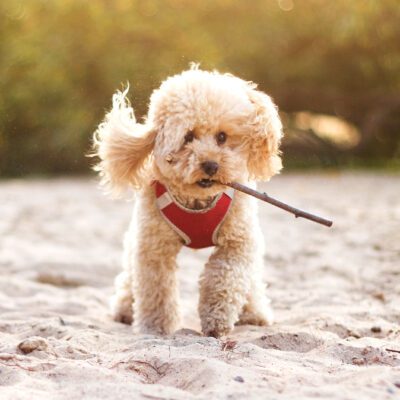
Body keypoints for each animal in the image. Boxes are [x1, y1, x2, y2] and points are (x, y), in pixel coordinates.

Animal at [92, 66, 282, 338]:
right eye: (188, 137)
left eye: (222, 136)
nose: (211, 165)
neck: (197, 201)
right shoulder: (154, 246)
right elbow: (156, 289)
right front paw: (155, 328)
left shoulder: (237, 241)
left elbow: (225, 278)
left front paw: (217, 322)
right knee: (129, 275)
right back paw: (125, 309)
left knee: (251, 279)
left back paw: (254, 313)